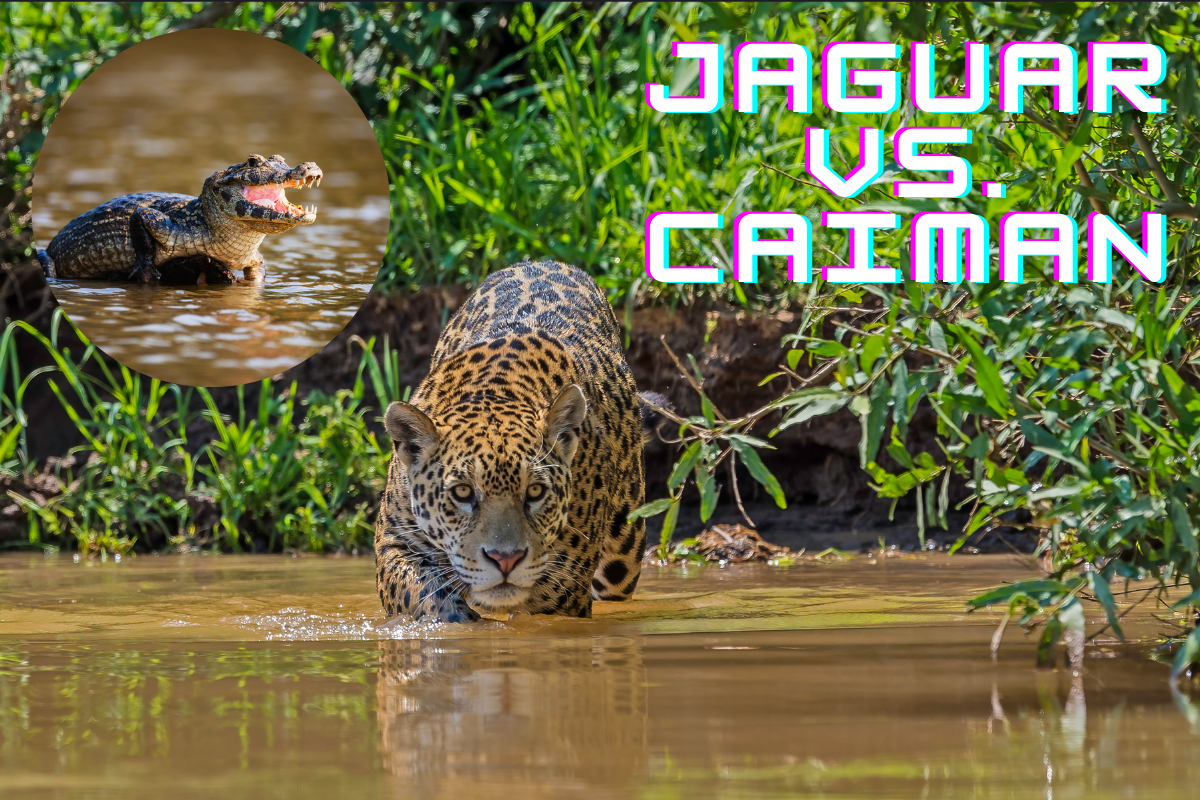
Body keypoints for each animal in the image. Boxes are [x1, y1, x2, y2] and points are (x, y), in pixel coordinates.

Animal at [374, 260, 651, 622]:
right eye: (462, 492)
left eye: (535, 492)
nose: (504, 559)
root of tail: (545, 261)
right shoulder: (394, 540)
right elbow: (420, 593)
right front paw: (459, 621)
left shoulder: (563, 590)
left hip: (624, 551)